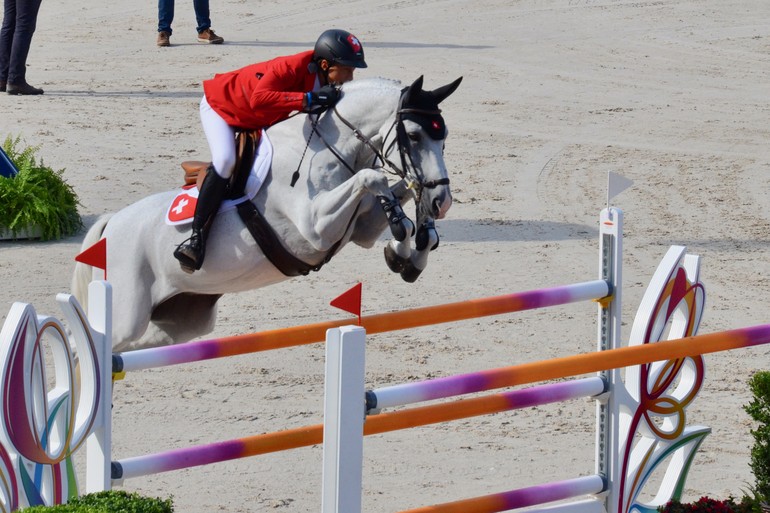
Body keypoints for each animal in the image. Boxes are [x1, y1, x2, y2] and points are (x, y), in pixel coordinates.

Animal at [72, 76, 460, 352]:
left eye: (443, 138)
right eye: (414, 135)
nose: (442, 200)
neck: (326, 147)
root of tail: (111, 223)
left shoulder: (360, 229)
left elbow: (401, 191)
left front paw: (410, 252)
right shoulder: (315, 227)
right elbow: (374, 177)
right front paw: (403, 237)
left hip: (180, 321)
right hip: (128, 312)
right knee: (85, 348)